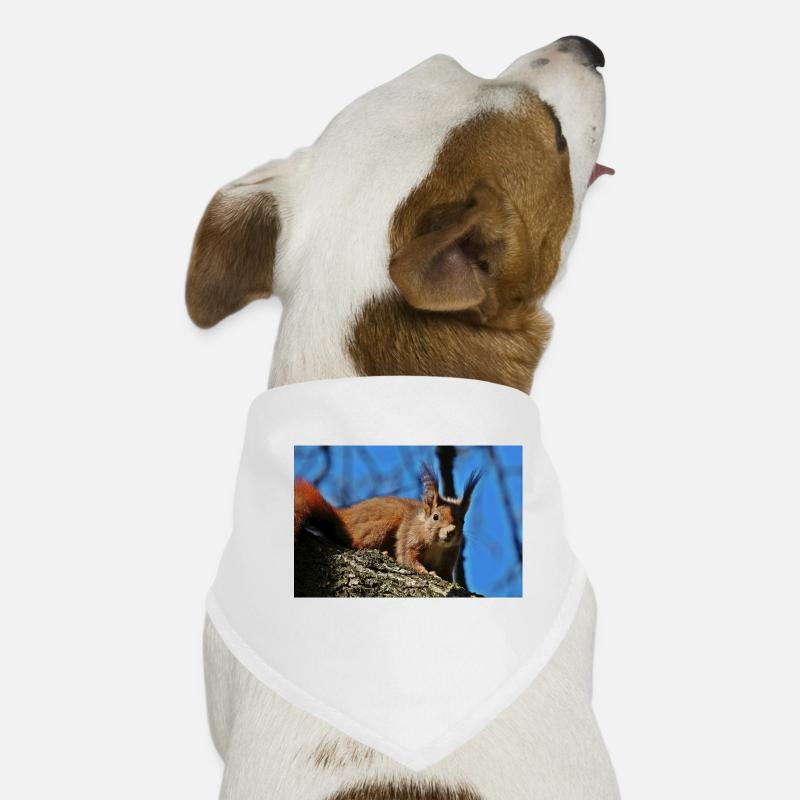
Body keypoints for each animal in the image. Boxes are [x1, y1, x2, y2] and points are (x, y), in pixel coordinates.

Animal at [294, 463, 481, 582]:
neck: (437, 545)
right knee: (356, 543)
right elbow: (409, 559)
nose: (450, 531)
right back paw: (382, 552)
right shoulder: (409, 538)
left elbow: (446, 575)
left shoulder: (449, 557)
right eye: (435, 517)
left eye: (463, 521)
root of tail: (344, 518)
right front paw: (426, 572)